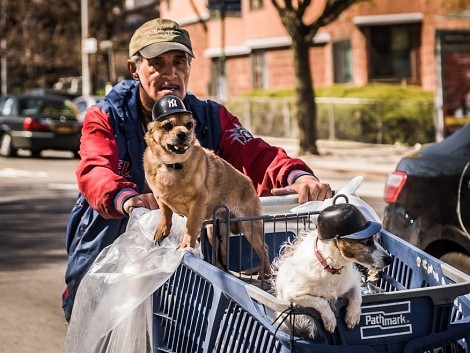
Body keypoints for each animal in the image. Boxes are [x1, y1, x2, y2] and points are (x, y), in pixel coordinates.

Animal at [142, 95, 272, 276]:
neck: (172, 165)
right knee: (222, 255)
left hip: (249, 226)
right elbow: (165, 212)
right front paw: (162, 229)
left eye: (189, 125)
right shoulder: (160, 197)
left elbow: (190, 227)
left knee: (264, 249)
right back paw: (221, 269)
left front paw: (186, 245)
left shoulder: (197, 204)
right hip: (215, 231)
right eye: (167, 126)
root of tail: (249, 182)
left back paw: (265, 274)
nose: (183, 133)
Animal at [270, 201, 392, 336]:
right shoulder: (292, 295)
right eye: (367, 242)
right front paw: (330, 319)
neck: (332, 268)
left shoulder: (353, 283)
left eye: (377, 239)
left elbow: (357, 297)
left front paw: (352, 316)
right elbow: (320, 301)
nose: (390, 259)